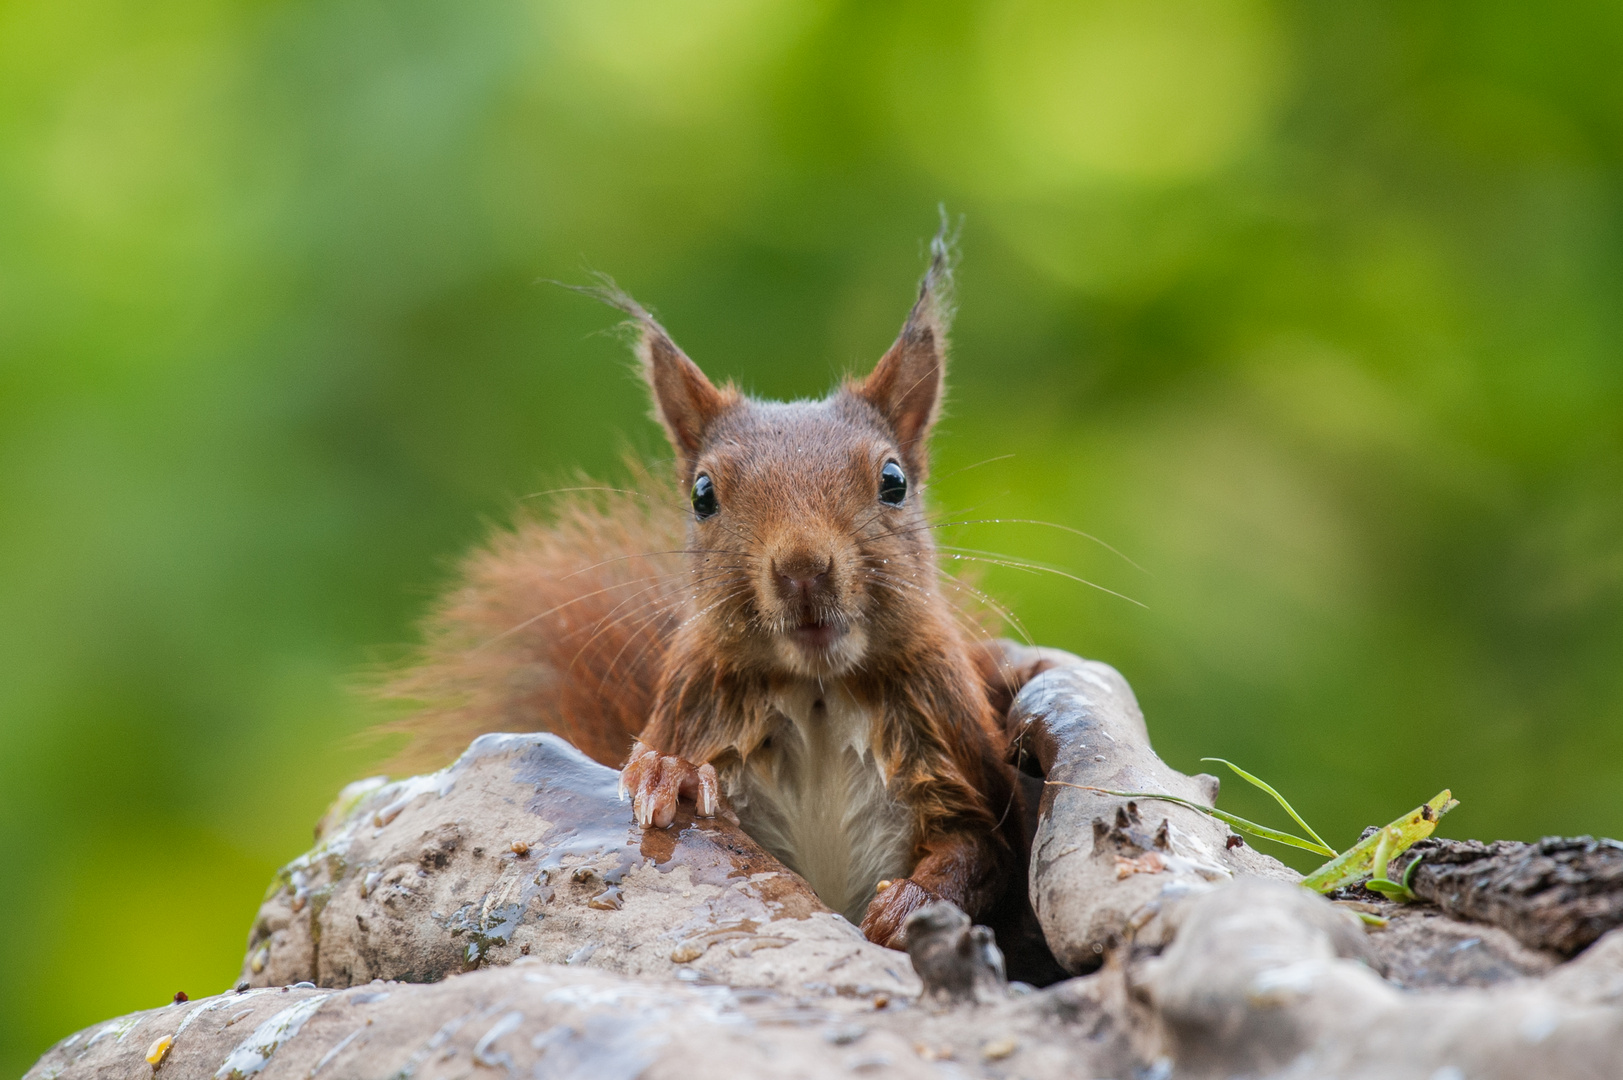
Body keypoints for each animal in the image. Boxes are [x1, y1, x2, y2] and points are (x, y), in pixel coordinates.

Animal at [383, 241, 1025, 941]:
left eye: (894, 481)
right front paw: (671, 773)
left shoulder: (947, 738)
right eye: (702, 494)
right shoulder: (691, 704)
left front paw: (908, 906)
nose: (802, 566)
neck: (818, 692)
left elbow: (976, 851)